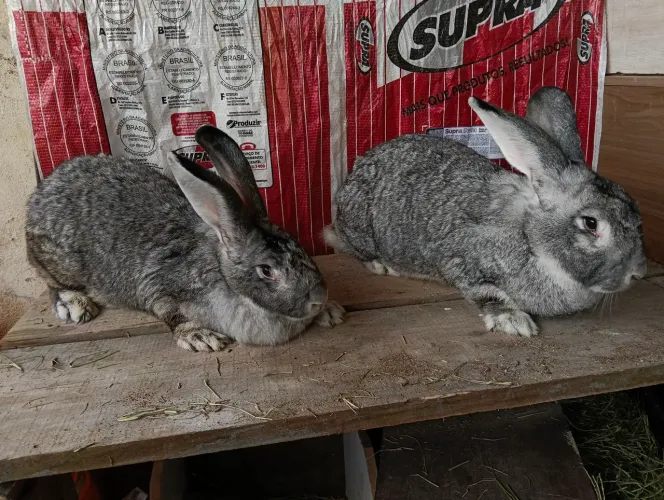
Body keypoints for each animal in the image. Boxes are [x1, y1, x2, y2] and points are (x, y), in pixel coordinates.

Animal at [25, 125, 344, 352]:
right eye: (266, 270)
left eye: (298, 245)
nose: (319, 298)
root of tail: (41, 193)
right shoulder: (161, 289)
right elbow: (171, 313)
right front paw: (200, 336)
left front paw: (332, 313)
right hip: (59, 263)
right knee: (52, 283)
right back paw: (75, 304)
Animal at [325, 86, 646, 338]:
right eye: (591, 223)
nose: (638, 273)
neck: (531, 239)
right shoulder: (459, 261)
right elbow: (486, 292)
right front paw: (515, 321)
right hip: (360, 229)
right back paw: (382, 265)